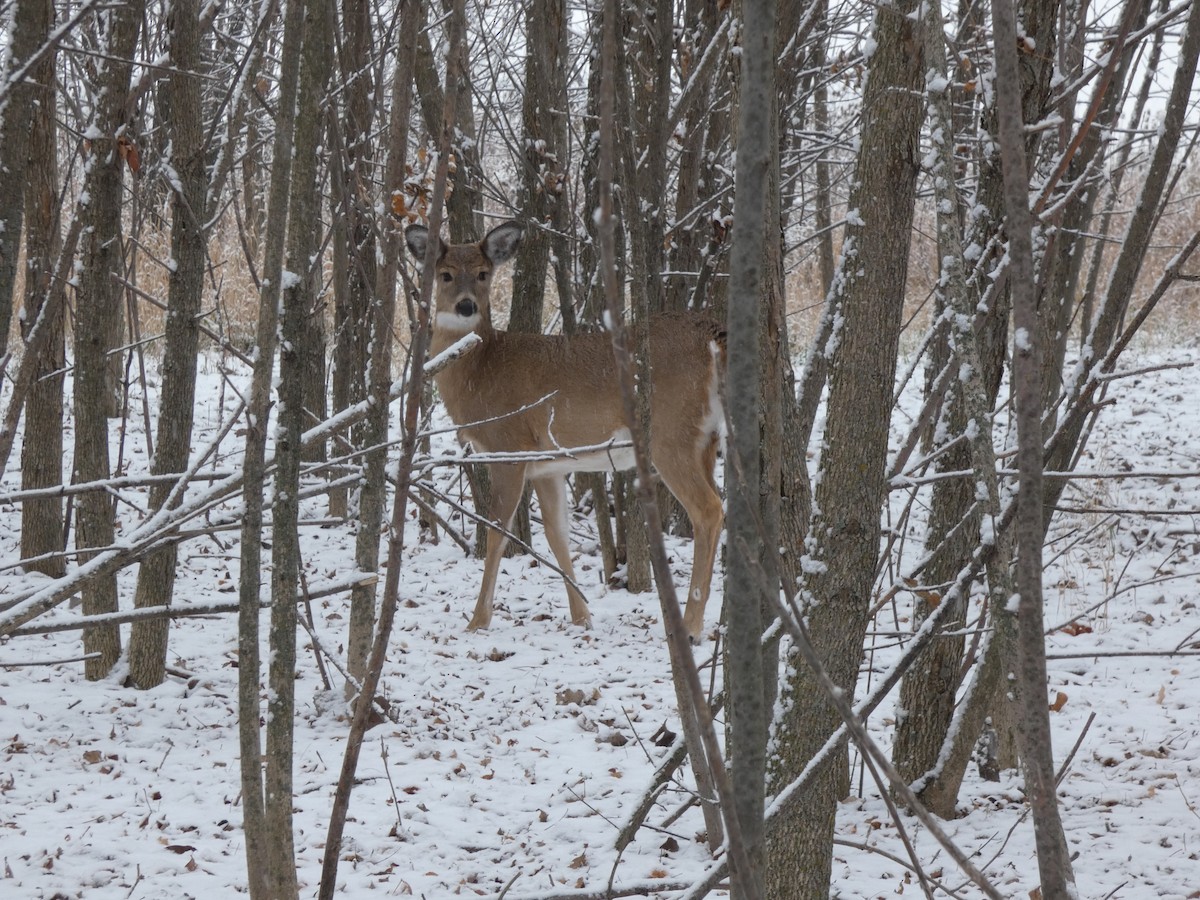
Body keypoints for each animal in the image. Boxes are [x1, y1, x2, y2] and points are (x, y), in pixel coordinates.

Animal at [405, 220, 725, 643]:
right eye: (445, 274)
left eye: (483, 273)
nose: (466, 305)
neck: (481, 370)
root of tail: (710, 333)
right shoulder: (548, 465)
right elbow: (558, 535)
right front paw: (581, 616)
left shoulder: (510, 447)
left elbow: (498, 533)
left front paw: (477, 620)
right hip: (705, 437)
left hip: (671, 432)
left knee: (709, 509)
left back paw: (689, 627)